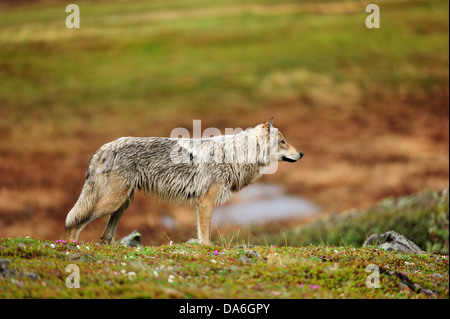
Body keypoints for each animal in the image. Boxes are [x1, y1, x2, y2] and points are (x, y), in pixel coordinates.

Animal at [65, 119, 304, 246]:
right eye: (283, 141)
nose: (301, 153)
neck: (236, 156)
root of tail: (103, 148)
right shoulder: (205, 202)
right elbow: (205, 236)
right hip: (113, 203)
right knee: (74, 222)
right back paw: (69, 247)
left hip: (122, 204)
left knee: (105, 236)